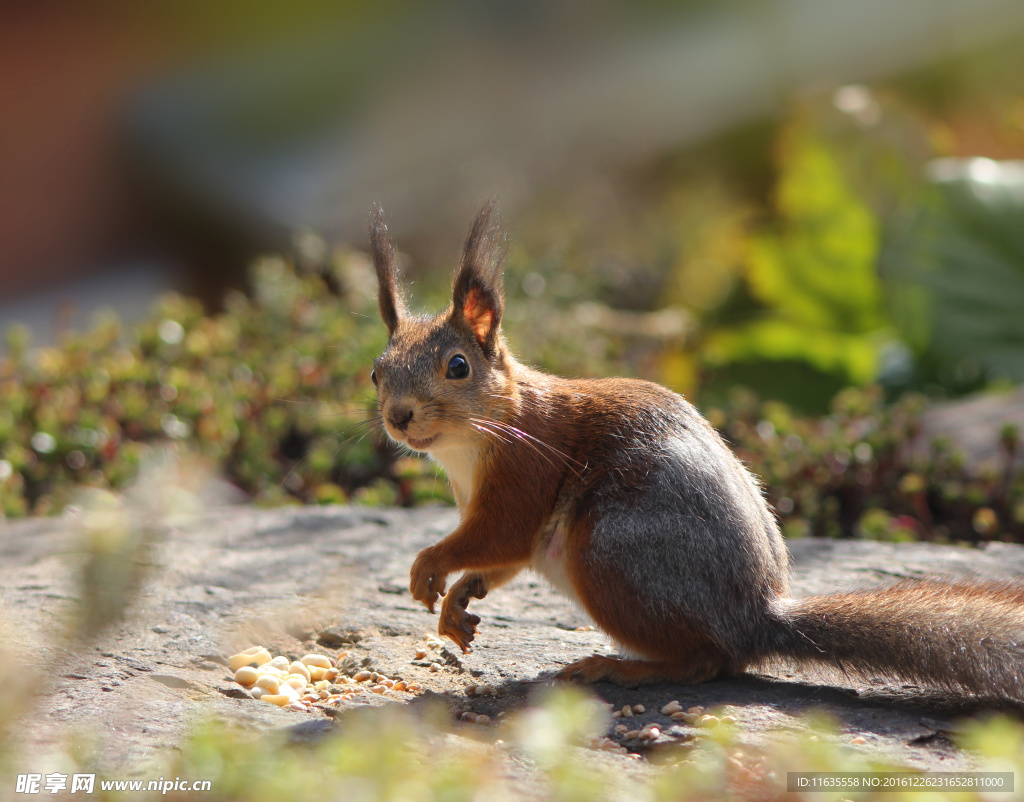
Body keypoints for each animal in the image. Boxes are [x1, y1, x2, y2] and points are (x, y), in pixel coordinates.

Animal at [366, 200, 1024, 696]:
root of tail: (756, 618)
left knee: (707, 662)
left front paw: (429, 565)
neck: (476, 441)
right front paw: (459, 600)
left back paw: (618, 666)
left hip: (611, 555)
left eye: (458, 367)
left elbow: (497, 534)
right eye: (376, 372)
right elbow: (502, 560)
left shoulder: (526, 469)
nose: (399, 417)